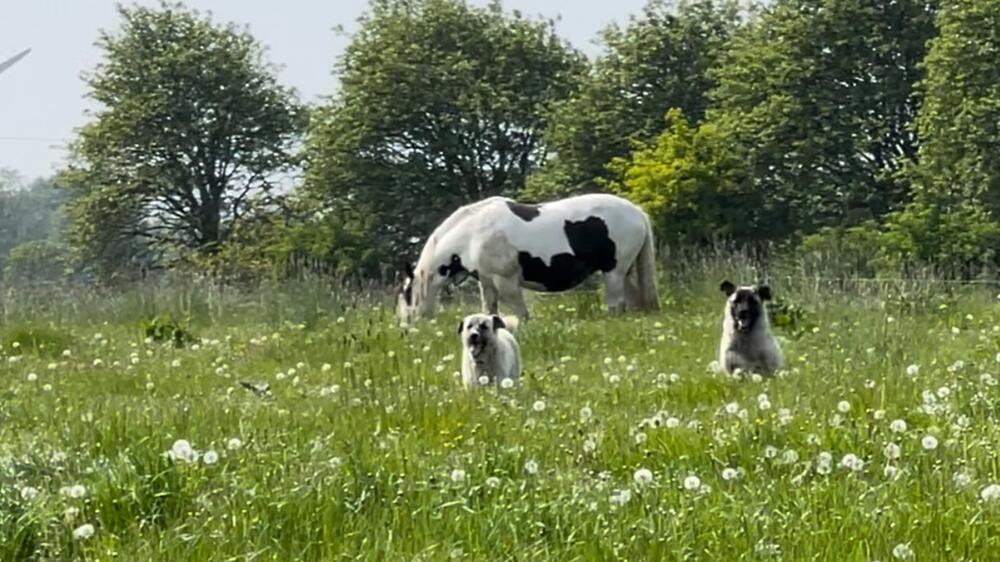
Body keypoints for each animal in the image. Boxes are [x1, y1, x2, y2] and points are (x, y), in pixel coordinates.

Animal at [394, 192, 660, 322]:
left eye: (406, 294)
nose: (405, 325)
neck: (473, 234)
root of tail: (636, 211)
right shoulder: (487, 282)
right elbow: (489, 311)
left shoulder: (506, 281)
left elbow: (521, 313)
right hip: (625, 271)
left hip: (614, 271)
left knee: (616, 304)